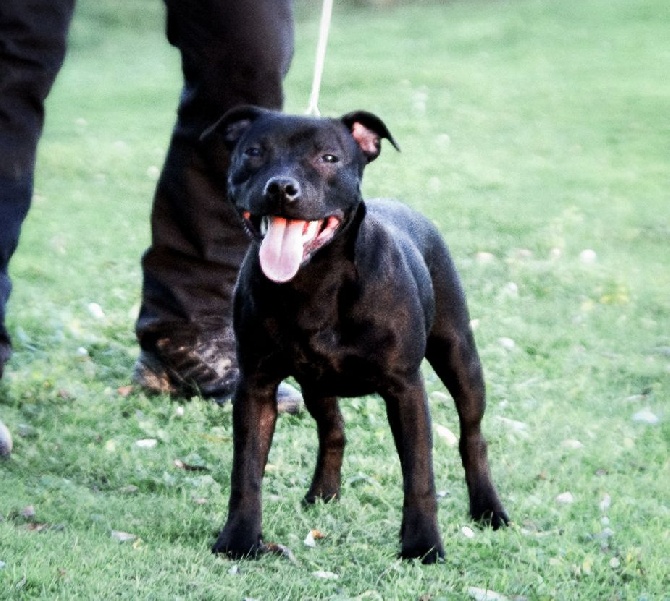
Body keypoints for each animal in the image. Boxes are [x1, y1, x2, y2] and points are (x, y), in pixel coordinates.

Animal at [202, 106, 506, 564]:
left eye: (328, 157)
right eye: (253, 152)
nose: (281, 188)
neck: (314, 282)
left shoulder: (405, 388)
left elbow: (419, 474)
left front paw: (423, 545)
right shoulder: (255, 386)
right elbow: (247, 472)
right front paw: (239, 540)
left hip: (460, 358)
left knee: (473, 436)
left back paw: (488, 508)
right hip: (316, 385)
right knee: (334, 430)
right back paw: (323, 494)